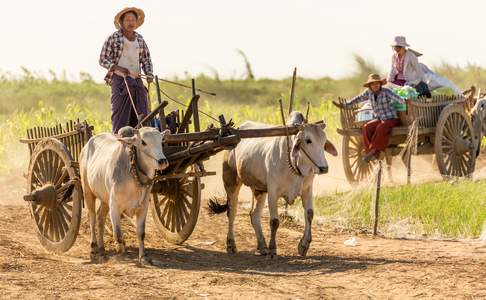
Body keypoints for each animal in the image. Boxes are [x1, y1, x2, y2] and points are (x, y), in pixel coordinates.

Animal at [79, 126, 169, 264]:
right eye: (143, 142)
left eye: (161, 141)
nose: (162, 161)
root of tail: (87, 144)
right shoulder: (115, 207)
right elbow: (118, 234)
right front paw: (120, 250)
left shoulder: (143, 207)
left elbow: (141, 233)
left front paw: (143, 257)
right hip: (87, 191)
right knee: (92, 218)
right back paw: (93, 248)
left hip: (105, 199)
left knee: (100, 218)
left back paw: (102, 249)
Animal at [209, 112, 338, 258]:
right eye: (308, 140)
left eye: (324, 141)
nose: (324, 168)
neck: (294, 163)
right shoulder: (273, 192)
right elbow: (274, 221)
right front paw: (272, 249)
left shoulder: (307, 189)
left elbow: (309, 214)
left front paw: (303, 246)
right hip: (231, 181)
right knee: (232, 212)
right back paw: (231, 244)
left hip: (259, 189)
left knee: (254, 215)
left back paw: (262, 246)